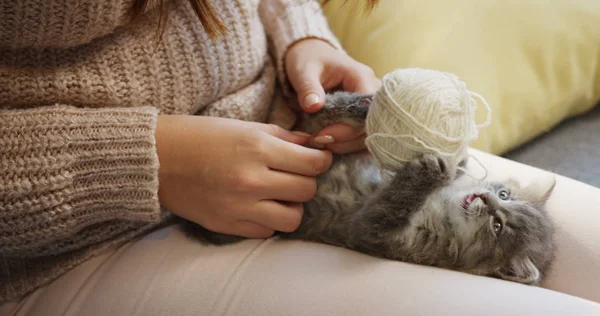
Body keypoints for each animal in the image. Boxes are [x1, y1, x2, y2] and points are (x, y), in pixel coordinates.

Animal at [179, 91, 556, 286]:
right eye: (504, 195)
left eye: (498, 226)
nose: (487, 199)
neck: (443, 210)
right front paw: (454, 164)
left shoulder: (377, 235)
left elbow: (389, 206)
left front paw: (428, 173)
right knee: (313, 120)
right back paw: (355, 104)